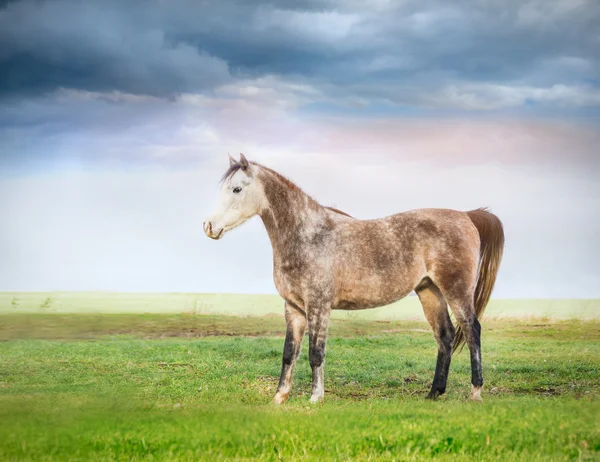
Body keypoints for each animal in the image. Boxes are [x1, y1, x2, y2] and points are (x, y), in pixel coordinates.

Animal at [204, 153, 504, 402]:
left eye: (237, 189)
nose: (209, 226)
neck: (309, 235)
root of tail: (466, 216)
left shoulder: (319, 306)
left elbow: (315, 353)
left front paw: (315, 398)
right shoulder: (294, 308)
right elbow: (289, 353)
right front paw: (279, 397)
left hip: (456, 291)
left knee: (471, 330)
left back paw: (475, 392)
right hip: (430, 291)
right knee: (445, 335)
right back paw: (433, 393)